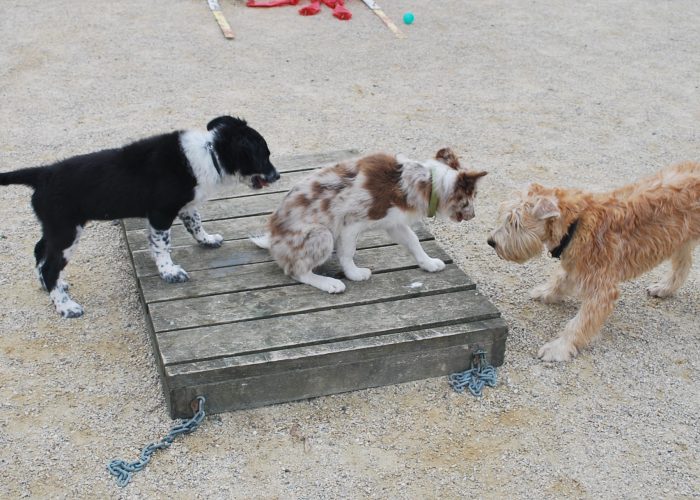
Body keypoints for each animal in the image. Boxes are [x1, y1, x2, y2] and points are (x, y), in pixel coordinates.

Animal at [0, 116, 278, 316]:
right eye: (264, 156)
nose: (277, 176)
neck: (210, 153)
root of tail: (42, 173)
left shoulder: (185, 206)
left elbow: (196, 223)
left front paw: (207, 240)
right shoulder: (161, 214)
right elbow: (162, 245)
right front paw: (169, 272)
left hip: (55, 228)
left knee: (40, 252)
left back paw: (53, 287)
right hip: (67, 231)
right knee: (50, 266)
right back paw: (66, 306)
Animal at [486, 162, 700, 362]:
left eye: (515, 222)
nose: (491, 241)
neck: (576, 223)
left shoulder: (601, 288)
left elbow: (579, 323)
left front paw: (559, 347)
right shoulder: (578, 265)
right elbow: (560, 279)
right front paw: (546, 292)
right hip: (681, 239)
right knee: (682, 266)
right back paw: (664, 288)